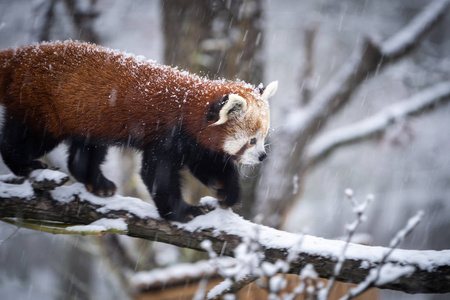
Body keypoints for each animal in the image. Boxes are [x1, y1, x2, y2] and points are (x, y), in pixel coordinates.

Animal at [0, 41, 278, 221]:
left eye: (262, 139)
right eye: (251, 141)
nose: (263, 156)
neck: (187, 105)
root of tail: (21, 55)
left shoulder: (195, 142)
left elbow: (210, 165)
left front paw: (228, 192)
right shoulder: (167, 134)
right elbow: (157, 175)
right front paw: (182, 212)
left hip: (88, 118)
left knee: (85, 151)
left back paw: (98, 184)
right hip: (43, 107)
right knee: (27, 137)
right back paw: (24, 164)